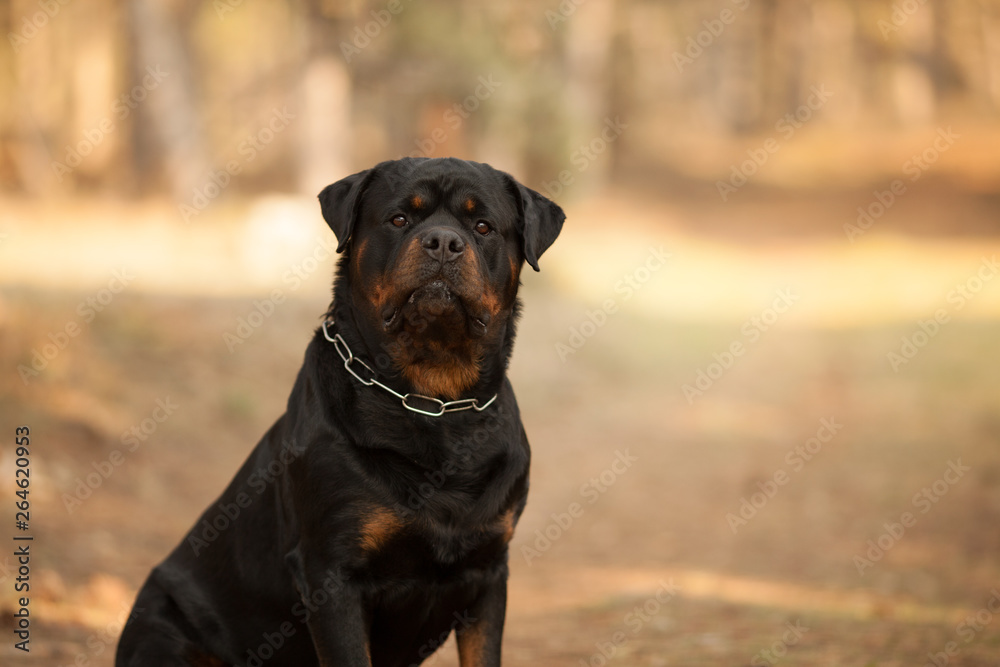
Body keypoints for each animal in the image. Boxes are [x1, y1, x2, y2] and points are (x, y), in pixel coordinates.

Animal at [117, 158, 564, 667]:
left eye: (483, 226)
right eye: (399, 219)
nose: (444, 241)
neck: (435, 400)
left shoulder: (487, 572)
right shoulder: (332, 575)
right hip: (163, 631)